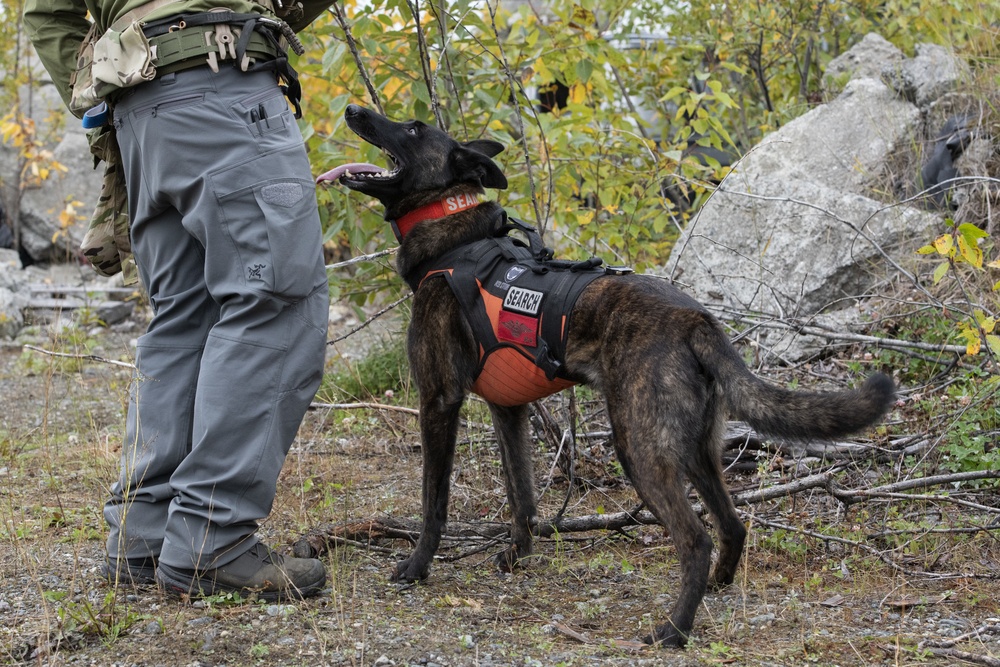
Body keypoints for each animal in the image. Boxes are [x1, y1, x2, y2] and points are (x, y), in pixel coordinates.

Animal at [316, 104, 896, 648]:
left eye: (412, 129)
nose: (352, 111)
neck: (453, 241)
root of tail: (695, 319)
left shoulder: (438, 401)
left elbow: (433, 501)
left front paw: (417, 567)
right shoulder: (510, 411)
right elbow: (522, 496)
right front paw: (518, 556)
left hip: (638, 446)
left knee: (696, 539)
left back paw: (674, 630)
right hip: (694, 449)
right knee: (731, 524)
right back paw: (717, 587)